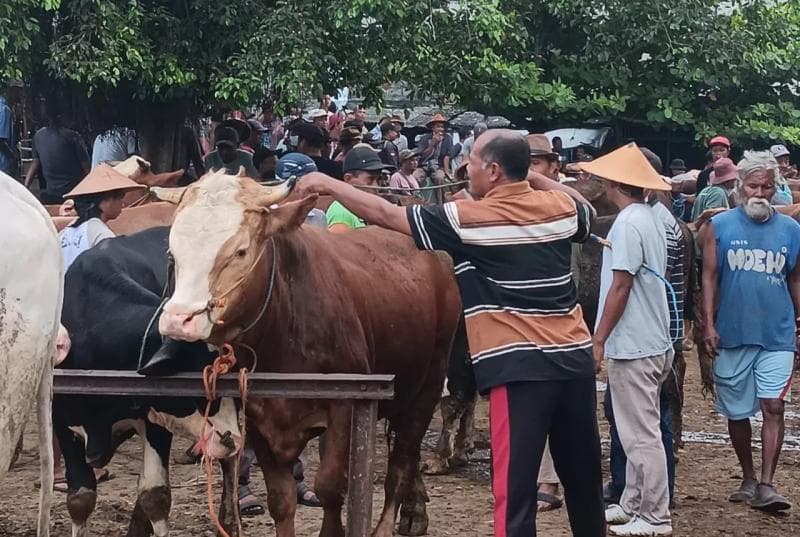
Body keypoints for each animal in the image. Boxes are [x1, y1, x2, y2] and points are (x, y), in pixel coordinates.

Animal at [55, 226, 241, 536]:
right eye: (197, 379)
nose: (231, 438)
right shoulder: (60, 419)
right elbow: (80, 498)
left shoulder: (155, 421)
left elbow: (155, 495)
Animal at [155, 171, 462, 536]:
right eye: (172, 253)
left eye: (241, 251)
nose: (179, 319)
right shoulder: (258, 415)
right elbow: (281, 498)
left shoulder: (346, 408)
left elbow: (330, 487)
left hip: (429, 383)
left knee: (401, 464)